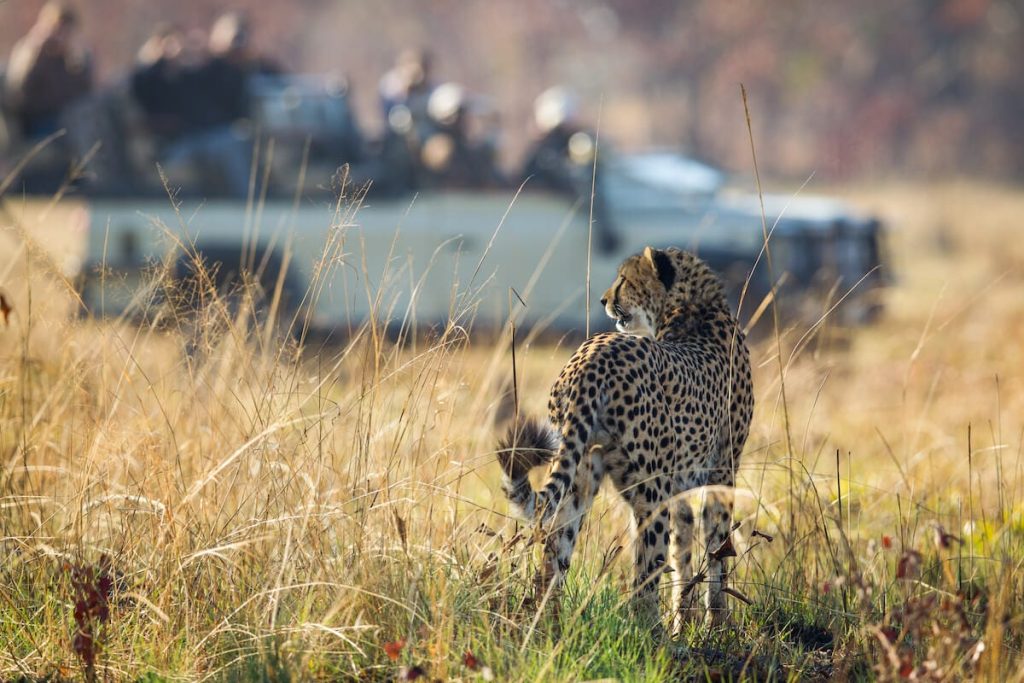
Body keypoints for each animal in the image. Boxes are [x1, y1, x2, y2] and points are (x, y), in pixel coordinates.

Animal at [496, 246, 753, 634]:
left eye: (625, 279)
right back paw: (654, 635)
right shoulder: (721, 471)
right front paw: (716, 627)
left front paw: (686, 620)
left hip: (580, 474)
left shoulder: (681, 482)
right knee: (644, 576)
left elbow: (684, 552)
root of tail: (591, 355)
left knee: (554, 554)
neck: (689, 306)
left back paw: (547, 626)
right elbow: (716, 551)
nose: (604, 299)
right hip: (650, 492)